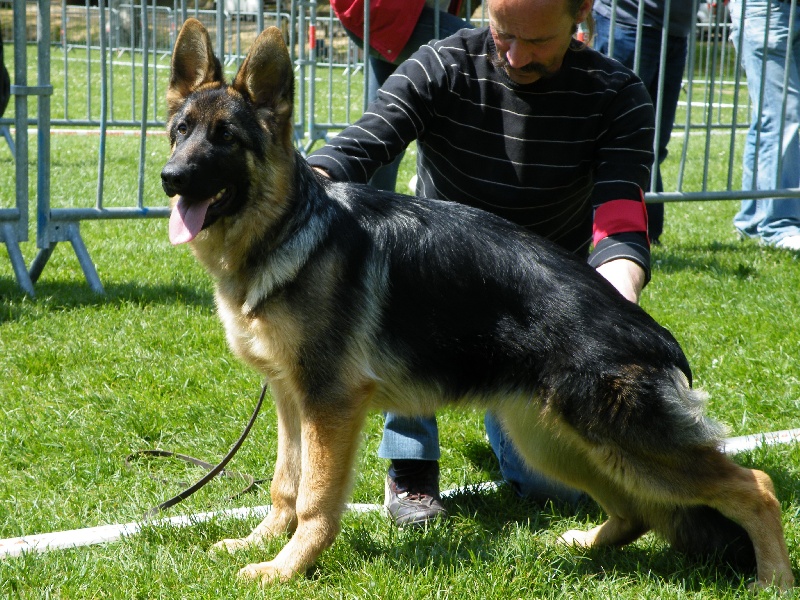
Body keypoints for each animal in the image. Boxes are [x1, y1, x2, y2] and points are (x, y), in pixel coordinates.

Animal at [162, 18, 792, 592]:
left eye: (226, 138)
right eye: (180, 131)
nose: (170, 178)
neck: (287, 230)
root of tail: (656, 337)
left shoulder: (329, 405)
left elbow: (315, 498)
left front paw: (288, 567)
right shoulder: (293, 402)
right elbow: (284, 485)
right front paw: (262, 542)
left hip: (621, 441)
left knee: (756, 485)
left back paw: (776, 580)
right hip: (559, 443)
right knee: (636, 510)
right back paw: (582, 544)